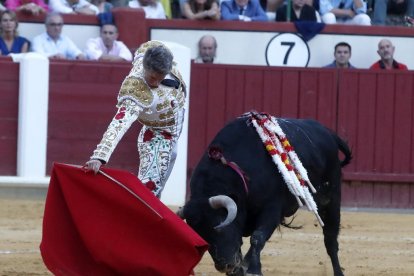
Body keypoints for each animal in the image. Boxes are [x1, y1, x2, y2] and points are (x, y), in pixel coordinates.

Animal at [180, 115, 350, 276]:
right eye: (201, 235)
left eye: (219, 229)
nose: (225, 266)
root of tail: (328, 133)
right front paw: (241, 269)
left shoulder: (272, 208)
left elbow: (257, 237)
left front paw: (253, 269)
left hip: (331, 199)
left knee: (330, 238)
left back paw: (338, 272)